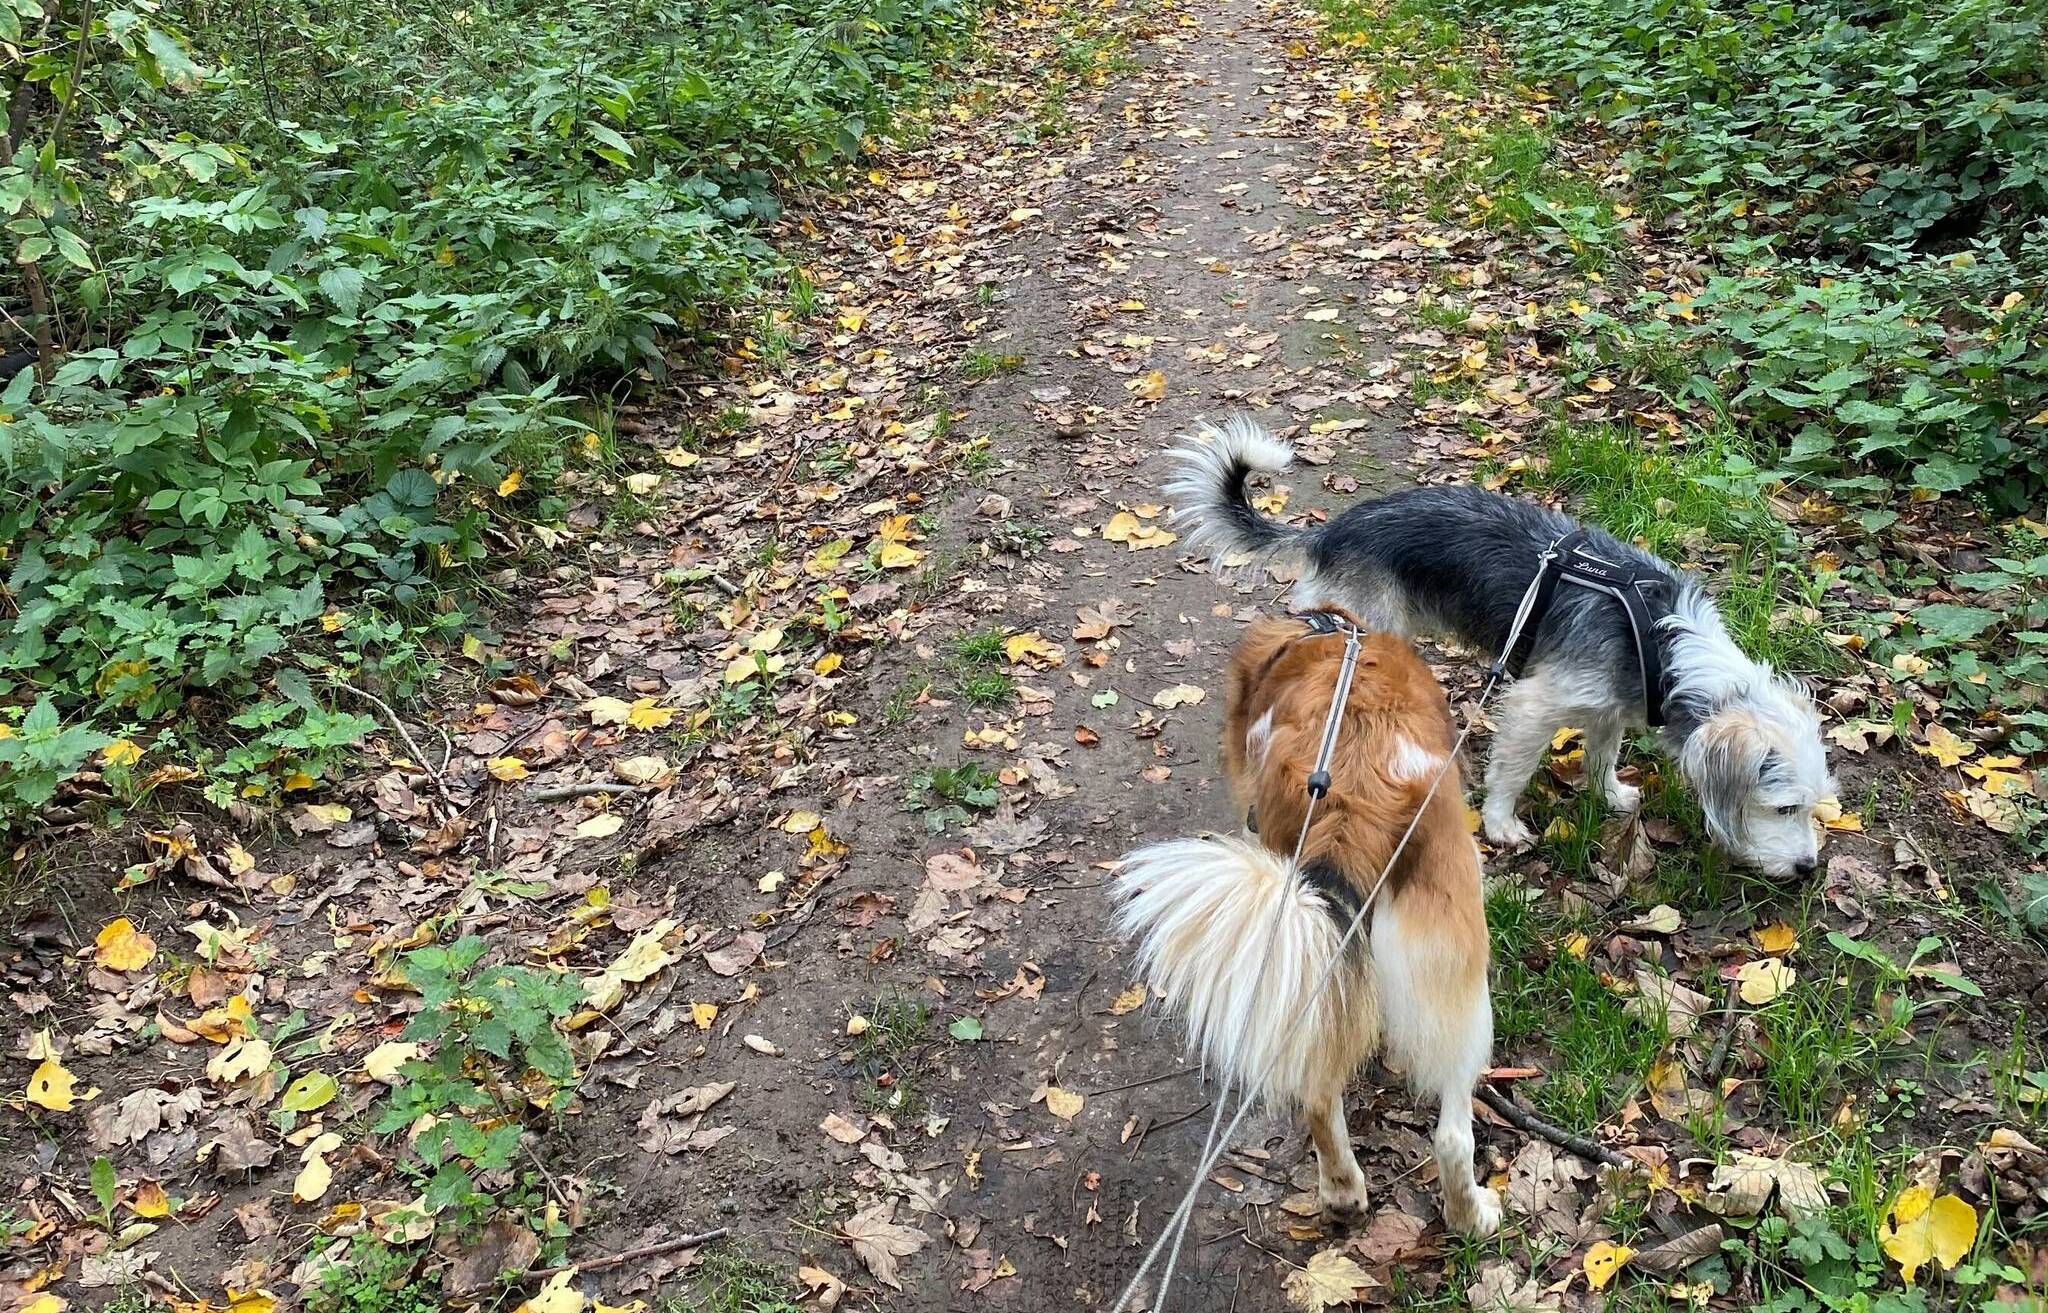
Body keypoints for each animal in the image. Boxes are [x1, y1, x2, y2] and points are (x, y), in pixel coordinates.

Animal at [1114, 610, 1499, 1229]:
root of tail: (1353, 797)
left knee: (1323, 1093)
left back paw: (1344, 1191)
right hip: (1460, 967)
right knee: (1452, 1132)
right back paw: (1471, 1216)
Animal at [1179, 413, 1835, 876]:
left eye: (1815, 806)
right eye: (1784, 807)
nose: (1808, 869)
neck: (1661, 637)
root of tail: (1332, 531)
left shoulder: (1607, 709)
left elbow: (1601, 757)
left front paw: (1610, 795)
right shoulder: (1533, 707)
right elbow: (1512, 772)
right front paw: (1500, 827)